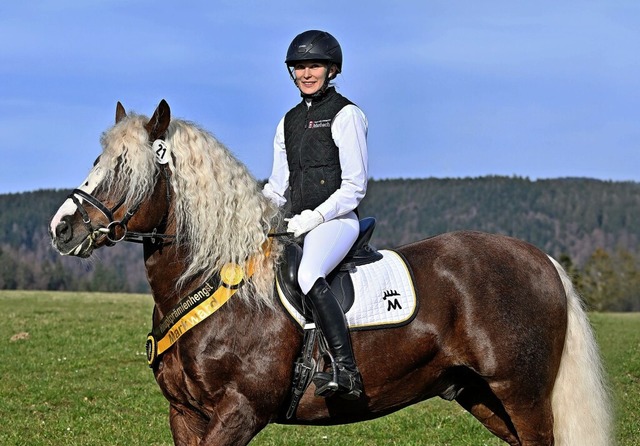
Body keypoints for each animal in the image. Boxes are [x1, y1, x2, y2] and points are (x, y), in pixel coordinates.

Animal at [48, 101, 608, 446]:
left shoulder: (240, 410)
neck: (214, 282)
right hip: (480, 394)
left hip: (522, 392)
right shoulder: (185, 414)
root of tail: (540, 260)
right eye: (97, 160)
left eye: (126, 170)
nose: (62, 228)